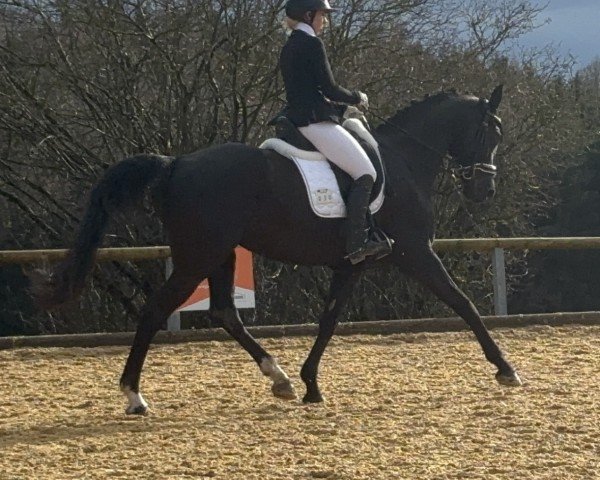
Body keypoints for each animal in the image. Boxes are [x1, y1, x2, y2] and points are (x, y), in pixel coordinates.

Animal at [34, 85, 520, 412]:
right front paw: (505, 369)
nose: (485, 190)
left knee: (224, 312)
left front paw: (310, 385)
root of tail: (176, 164)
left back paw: (279, 377)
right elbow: (463, 304)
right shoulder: (415, 252)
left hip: (222, 253)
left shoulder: (351, 264)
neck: (402, 160)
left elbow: (329, 320)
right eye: (491, 132)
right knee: (156, 310)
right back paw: (134, 396)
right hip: (198, 255)